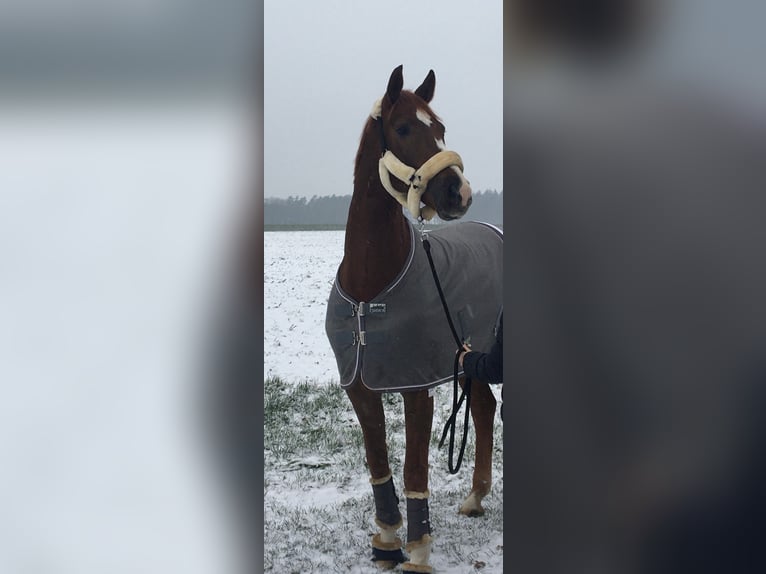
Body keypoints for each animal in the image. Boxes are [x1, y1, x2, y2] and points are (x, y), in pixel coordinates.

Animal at [325, 65, 502, 573]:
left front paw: (419, 549)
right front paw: (386, 539)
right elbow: (379, 461)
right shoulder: (360, 387)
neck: (372, 285)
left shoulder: (416, 387)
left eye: (439, 127)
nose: (460, 193)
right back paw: (475, 498)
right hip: (471, 359)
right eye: (404, 128)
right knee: (484, 409)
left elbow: (414, 468)